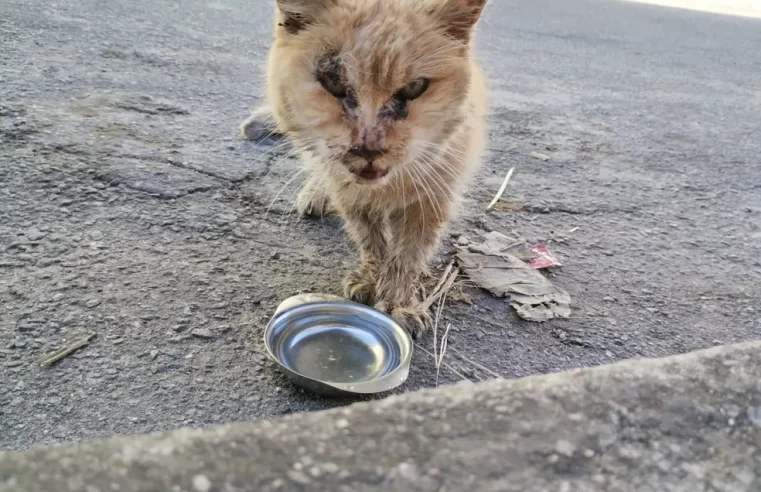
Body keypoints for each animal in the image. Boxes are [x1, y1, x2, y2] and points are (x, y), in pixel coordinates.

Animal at [242, 0, 486, 336]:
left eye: (415, 87)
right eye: (333, 82)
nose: (369, 147)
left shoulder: (432, 197)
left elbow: (408, 254)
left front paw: (397, 301)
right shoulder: (350, 194)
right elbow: (371, 239)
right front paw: (373, 278)